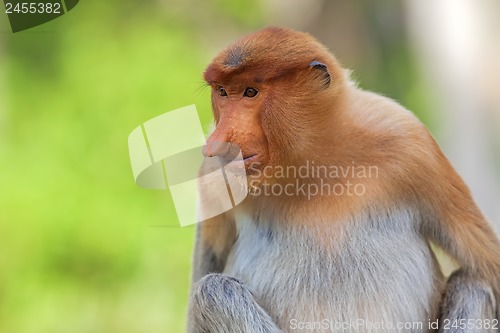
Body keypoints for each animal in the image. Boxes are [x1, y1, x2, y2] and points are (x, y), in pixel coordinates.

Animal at [186, 27, 498, 332]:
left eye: (250, 92)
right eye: (223, 92)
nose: (217, 142)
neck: (313, 162)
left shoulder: (411, 141)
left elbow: (491, 272)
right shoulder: (213, 173)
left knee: (473, 284)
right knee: (212, 289)